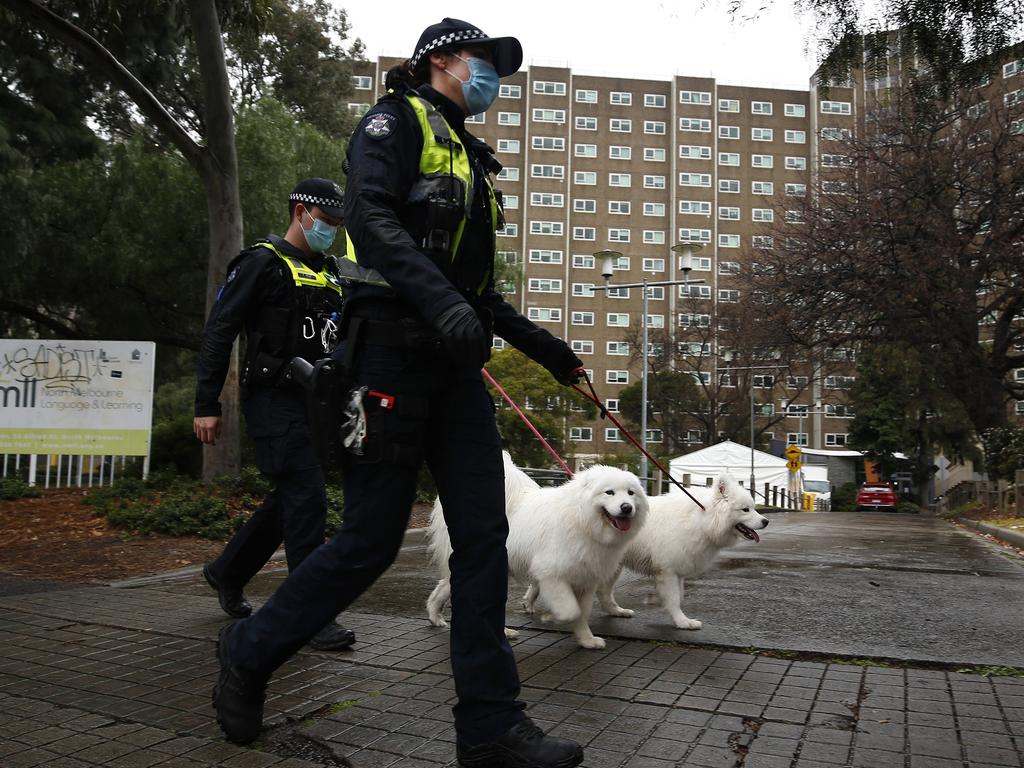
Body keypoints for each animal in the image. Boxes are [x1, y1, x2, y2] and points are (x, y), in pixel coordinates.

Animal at [194, 180, 356, 655]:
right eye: (332, 218)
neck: (301, 254)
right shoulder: (248, 274)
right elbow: (222, 327)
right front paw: (324, 626)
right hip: (284, 429)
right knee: (299, 489)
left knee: (282, 498)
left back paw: (223, 578)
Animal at [425, 450, 647, 651]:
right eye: (609, 492)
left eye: (631, 493)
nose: (627, 507)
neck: (582, 520)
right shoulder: (551, 574)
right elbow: (570, 610)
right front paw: (551, 617)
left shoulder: (585, 580)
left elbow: (582, 613)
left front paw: (587, 640)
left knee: (443, 588)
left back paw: (437, 618)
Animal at [593, 475, 770, 630]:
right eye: (745, 510)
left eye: (753, 508)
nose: (766, 521)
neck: (702, 519)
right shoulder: (668, 571)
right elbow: (674, 598)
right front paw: (683, 622)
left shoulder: (677, 571)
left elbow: (680, 596)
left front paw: (657, 600)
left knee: (603, 591)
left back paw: (617, 611)